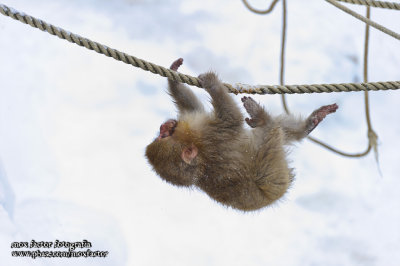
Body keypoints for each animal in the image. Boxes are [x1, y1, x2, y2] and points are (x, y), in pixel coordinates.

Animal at [144, 58, 338, 212]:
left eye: (163, 134)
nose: (163, 127)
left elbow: (194, 108)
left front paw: (174, 77)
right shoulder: (212, 136)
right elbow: (232, 118)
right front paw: (213, 84)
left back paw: (308, 125)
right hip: (274, 175)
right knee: (270, 132)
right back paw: (263, 118)